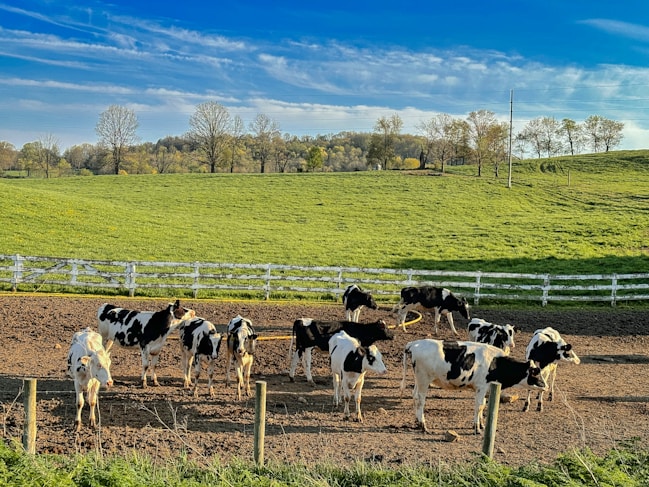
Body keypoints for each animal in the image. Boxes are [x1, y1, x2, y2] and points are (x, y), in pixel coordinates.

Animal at [400, 339, 547, 434]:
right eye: (536, 373)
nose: (545, 386)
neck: (496, 363)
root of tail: (414, 344)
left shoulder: (486, 388)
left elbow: (483, 405)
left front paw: (481, 424)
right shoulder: (481, 386)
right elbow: (479, 406)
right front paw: (476, 427)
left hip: (418, 380)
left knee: (415, 397)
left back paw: (417, 421)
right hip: (424, 379)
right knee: (420, 400)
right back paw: (423, 425)